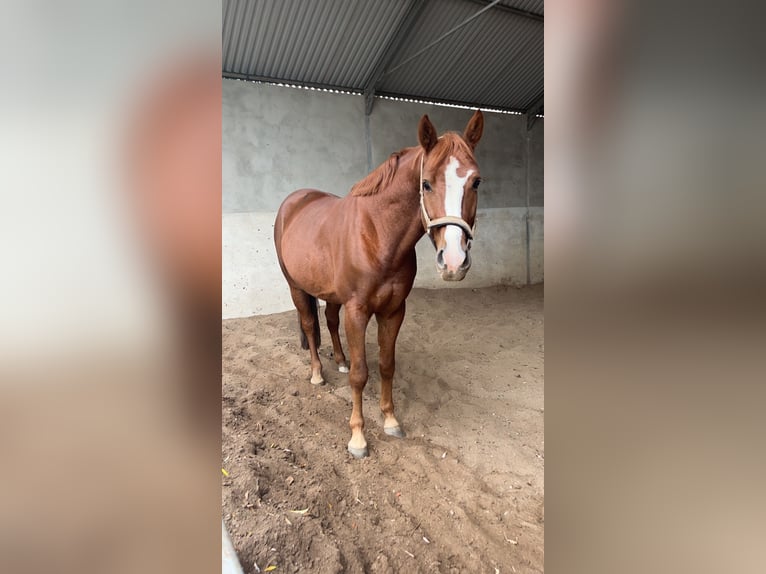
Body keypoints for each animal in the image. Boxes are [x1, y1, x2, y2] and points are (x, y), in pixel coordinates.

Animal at [272, 110, 484, 456]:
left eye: (476, 181)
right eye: (426, 184)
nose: (453, 262)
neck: (378, 234)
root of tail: (294, 202)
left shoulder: (394, 310)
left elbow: (386, 365)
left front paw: (391, 421)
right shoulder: (357, 311)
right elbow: (361, 374)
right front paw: (358, 437)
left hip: (333, 295)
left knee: (330, 320)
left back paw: (340, 361)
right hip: (296, 288)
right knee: (309, 326)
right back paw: (317, 374)